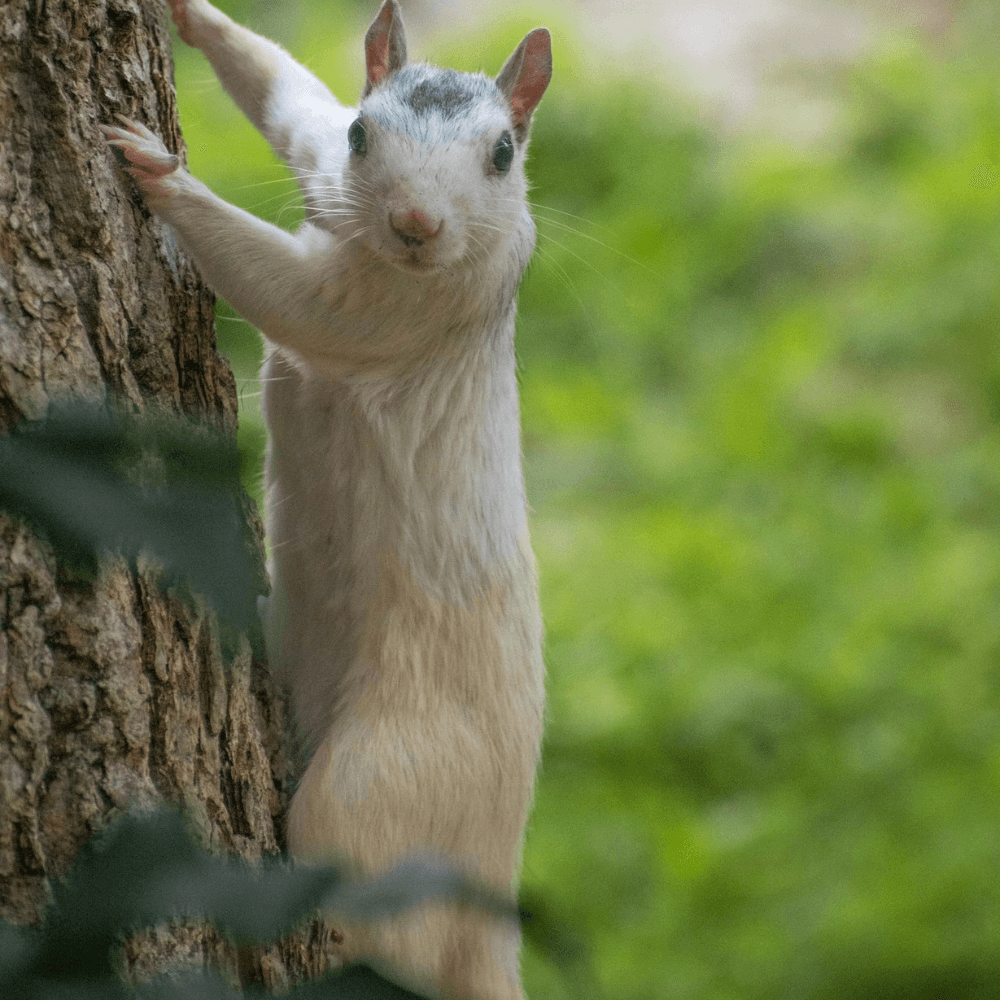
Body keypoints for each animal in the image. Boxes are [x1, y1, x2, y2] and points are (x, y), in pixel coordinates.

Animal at [104, 1, 552, 1000]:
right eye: (362, 132)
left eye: (504, 153)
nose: (416, 222)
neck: (393, 255)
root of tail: (491, 892)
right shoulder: (323, 170)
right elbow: (287, 100)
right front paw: (197, 21)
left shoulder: (403, 310)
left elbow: (289, 297)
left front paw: (161, 174)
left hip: (380, 789)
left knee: (362, 909)